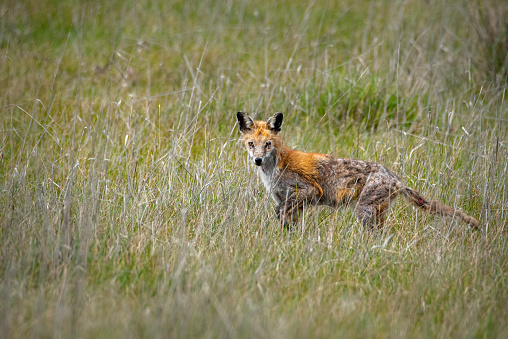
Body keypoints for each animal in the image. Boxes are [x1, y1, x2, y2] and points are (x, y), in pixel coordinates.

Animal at [236, 111, 478, 231]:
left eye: (267, 144)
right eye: (251, 144)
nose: (257, 160)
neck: (273, 170)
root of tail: (395, 177)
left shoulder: (308, 192)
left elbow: (279, 213)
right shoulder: (289, 202)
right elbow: (286, 222)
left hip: (364, 211)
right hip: (374, 213)